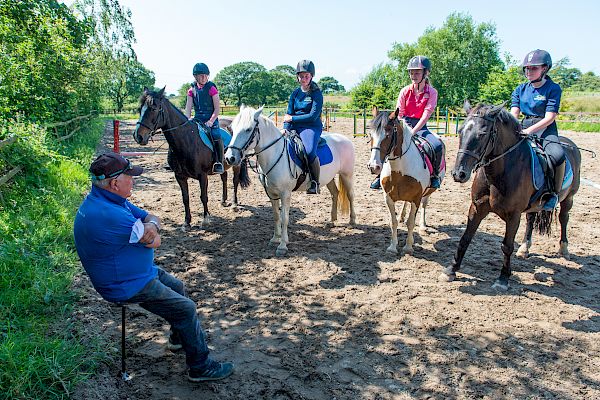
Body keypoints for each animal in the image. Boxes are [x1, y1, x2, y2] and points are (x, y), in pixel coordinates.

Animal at [134, 89, 251, 230]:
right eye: (140, 109)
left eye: (153, 108)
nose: (138, 136)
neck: (186, 141)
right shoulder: (179, 176)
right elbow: (185, 198)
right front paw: (187, 222)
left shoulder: (203, 175)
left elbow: (203, 196)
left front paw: (205, 219)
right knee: (224, 177)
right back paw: (223, 201)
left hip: (236, 164)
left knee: (235, 181)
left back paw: (234, 204)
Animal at [225, 106, 356, 256]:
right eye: (232, 129)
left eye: (248, 129)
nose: (230, 158)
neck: (275, 154)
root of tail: (344, 139)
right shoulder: (272, 194)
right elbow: (276, 216)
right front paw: (275, 239)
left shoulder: (285, 194)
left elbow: (285, 218)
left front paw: (282, 245)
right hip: (329, 178)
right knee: (335, 194)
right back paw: (331, 221)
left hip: (347, 175)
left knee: (350, 195)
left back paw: (352, 221)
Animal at [366, 108, 446, 255]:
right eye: (370, 134)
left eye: (388, 134)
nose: (374, 167)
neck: (400, 171)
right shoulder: (388, 198)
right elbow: (393, 222)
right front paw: (392, 247)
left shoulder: (416, 198)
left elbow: (411, 222)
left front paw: (408, 247)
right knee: (405, 204)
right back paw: (402, 216)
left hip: (427, 193)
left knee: (424, 205)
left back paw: (423, 226)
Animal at [440, 102, 580, 290]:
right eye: (461, 131)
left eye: (482, 134)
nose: (458, 174)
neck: (500, 173)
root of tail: (569, 144)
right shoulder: (477, 207)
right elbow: (465, 239)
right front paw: (451, 270)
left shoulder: (513, 215)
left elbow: (506, 246)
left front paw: (503, 279)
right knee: (531, 220)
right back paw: (525, 248)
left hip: (568, 198)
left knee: (564, 218)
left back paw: (564, 249)